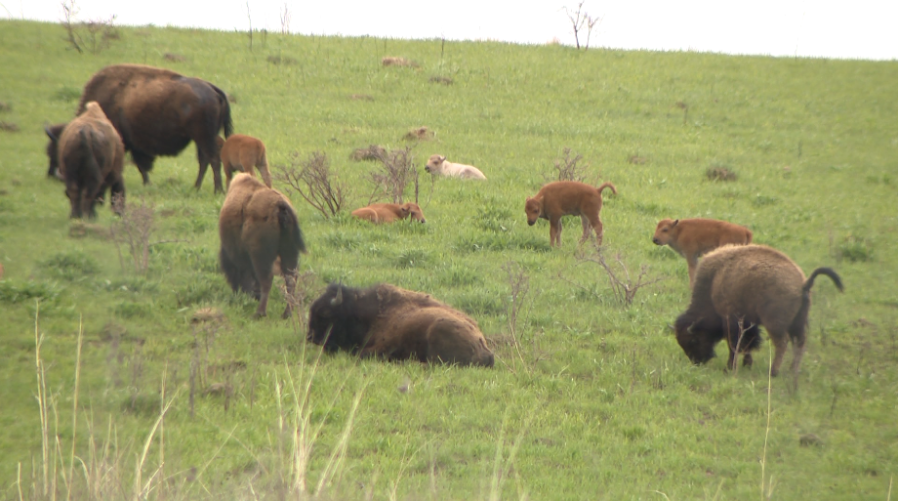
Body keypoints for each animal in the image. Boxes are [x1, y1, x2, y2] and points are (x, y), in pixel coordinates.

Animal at [45, 64, 232, 193]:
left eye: (56, 151)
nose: (52, 176)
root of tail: (213, 89)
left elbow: (139, 165)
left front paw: (145, 183)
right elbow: (141, 165)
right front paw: (147, 184)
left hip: (203, 137)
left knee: (213, 159)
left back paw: (217, 190)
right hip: (201, 138)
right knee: (205, 161)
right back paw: (196, 187)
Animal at [218, 173, 306, 318]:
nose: (237, 292)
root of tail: (280, 205)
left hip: (260, 255)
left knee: (267, 280)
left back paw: (260, 313)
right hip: (289, 252)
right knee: (290, 279)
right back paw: (286, 314)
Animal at [673, 244, 843, 376]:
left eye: (693, 340)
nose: (697, 362)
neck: (713, 280)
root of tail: (803, 283)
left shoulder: (731, 319)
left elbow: (735, 344)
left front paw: (729, 368)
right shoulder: (749, 321)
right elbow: (748, 342)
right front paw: (747, 364)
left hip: (775, 324)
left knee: (782, 343)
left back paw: (774, 372)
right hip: (798, 322)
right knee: (800, 342)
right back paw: (792, 370)